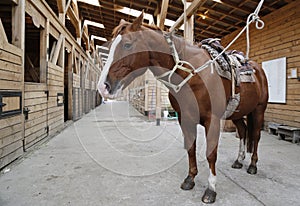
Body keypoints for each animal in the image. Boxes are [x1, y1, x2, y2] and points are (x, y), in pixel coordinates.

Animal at [98, 13, 268, 204]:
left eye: (127, 44)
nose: (103, 86)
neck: (192, 74)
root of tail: (257, 69)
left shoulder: (212, 120)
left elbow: (211, 154)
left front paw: (211, 189)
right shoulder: (184, 118)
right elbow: (191, 147)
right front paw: (190, 179)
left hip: (259, 110)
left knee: (255, 136)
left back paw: (252, 165)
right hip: (238, 113)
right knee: (243, 131)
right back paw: (239, 160)